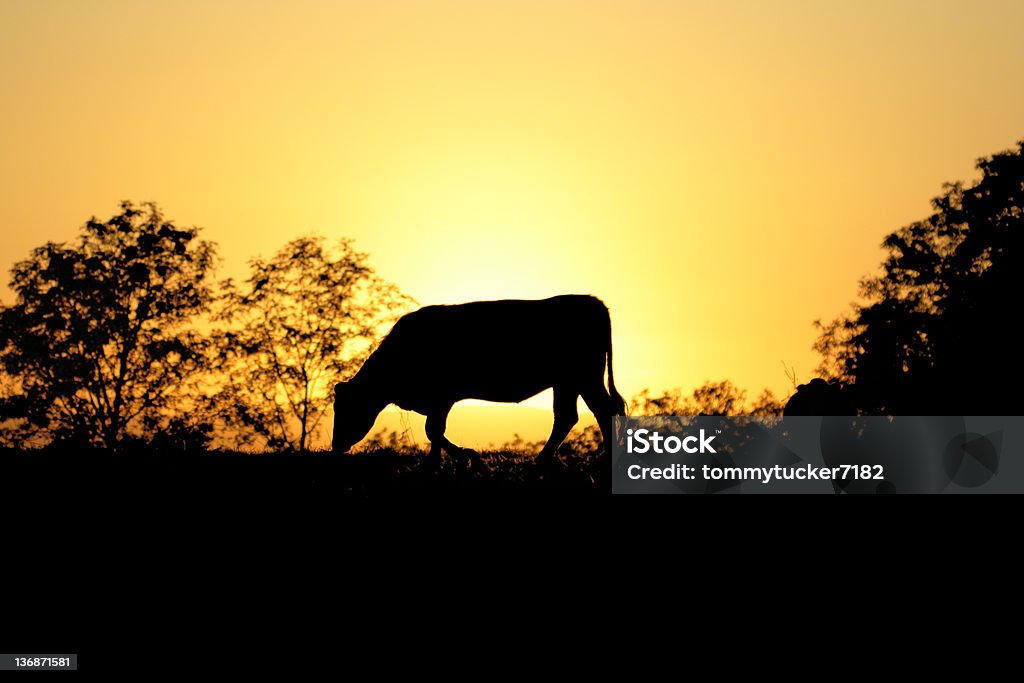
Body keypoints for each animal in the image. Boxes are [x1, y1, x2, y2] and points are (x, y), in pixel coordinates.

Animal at [331, 294, 626, 458]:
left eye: (348, 409)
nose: (335, 445)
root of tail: (594, 302)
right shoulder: (437, 401)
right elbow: (433, 432)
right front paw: (435, 462)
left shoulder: (443, 396)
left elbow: (433, 430)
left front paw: (465, 455)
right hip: (567, 382)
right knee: (570, 416)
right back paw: (542, 460)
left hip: (584, 376)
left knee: (604, 409)